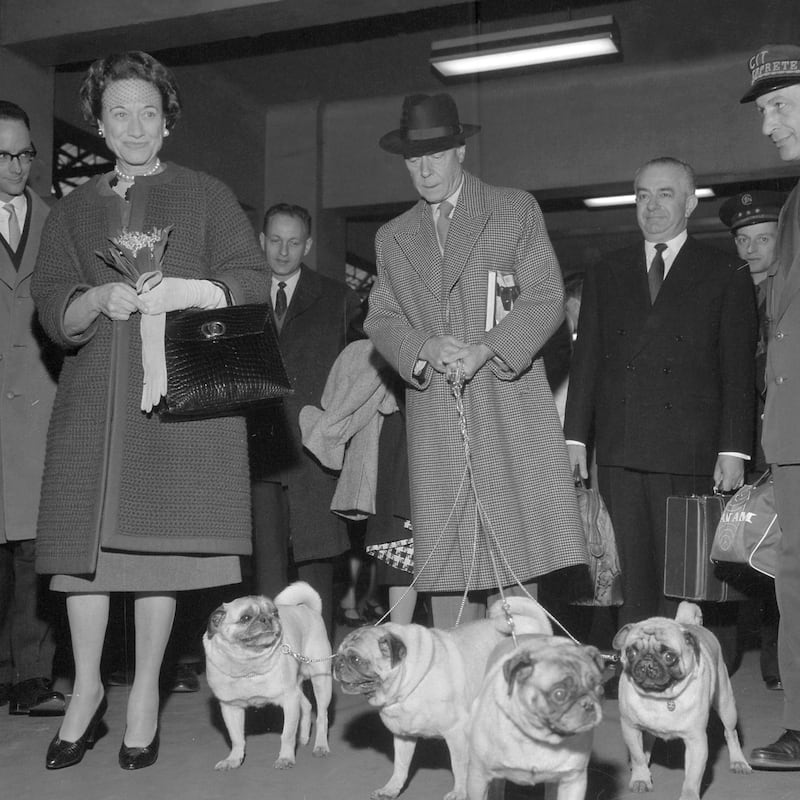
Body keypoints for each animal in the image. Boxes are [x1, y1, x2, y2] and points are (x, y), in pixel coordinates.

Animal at [206, 584, 334, 772]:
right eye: (245, 618)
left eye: (274, 613)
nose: (267, 618)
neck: (249, 665)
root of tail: (308, 610)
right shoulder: (230, 707)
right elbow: (236, 738)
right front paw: (234, 759)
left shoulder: (289, 700)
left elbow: (287, 734)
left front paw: (286, 758)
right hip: (297, 687)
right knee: (307, 705)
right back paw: (303, 738)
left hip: (321, 681)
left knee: (322, 716)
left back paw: (321, 746)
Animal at [334, 592, 552, 800]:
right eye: (337, 655)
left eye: (356, 659)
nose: (337, 664)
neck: (409, 680)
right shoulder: (404, 736)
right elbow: (400, 766)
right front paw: (391, 789)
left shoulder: (456, 733)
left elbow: (459, 767)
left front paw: (460, 792)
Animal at [466, 636, 604, 800]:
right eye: (559, 694)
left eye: (600, 689)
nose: (589, 704)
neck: (539, 739)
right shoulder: (478, 777)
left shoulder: (573, 780)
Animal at [612, 600, 752, 800]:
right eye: (631, 653)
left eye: (669, 656)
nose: (647, 662)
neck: (659, 698)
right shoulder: (630, 728)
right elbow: (637, 755)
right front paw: (641, 778)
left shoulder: (696, 741)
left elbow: (693, 775)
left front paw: (689, 795)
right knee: (647, 743)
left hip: (726, 704)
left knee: (731, 733)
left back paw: (738, 761)